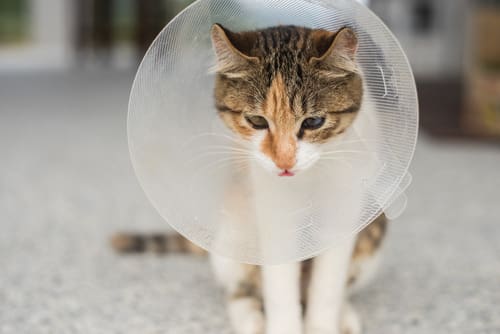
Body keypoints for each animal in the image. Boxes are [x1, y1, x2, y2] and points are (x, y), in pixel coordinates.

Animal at [113, 24, 386, 334]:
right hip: (232, 243)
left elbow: (327, 287)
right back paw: (252, 320)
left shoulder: (344, 210)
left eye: (313, 122)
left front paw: (323, 325)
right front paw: (282, 327)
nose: (284, 162)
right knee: (240, 292)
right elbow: (279, 287)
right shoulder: (272, 211)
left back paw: (345, 315)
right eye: (257, 121)